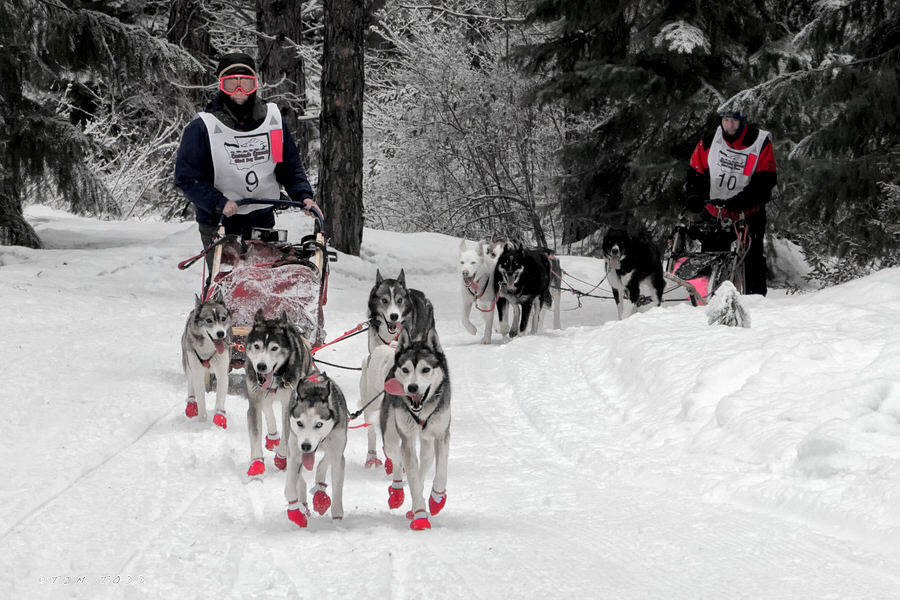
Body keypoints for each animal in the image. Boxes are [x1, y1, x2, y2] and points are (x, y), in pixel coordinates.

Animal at [180, 290, 232, 426]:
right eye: (209, 320)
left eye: (223, 318)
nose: (221, 333)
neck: (209, 349)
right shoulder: (197, 372)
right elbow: (201, 400)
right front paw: (202, 423)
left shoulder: (222, 372)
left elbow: (220, 398)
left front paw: (219, 418)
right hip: (188, 363)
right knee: (191, 381)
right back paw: (191, 405)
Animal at [244, 310, 314, 478]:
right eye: (257, 346)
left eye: (274, 348)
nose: (261, 366)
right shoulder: (254, 402)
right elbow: (256, 432)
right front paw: (256, 463)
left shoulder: (289, 405)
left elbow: (287, 433)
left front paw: (282, 459)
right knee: (268, 409)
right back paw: (272, 437)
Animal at [284, 372, 348, 528]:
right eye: (299, 423)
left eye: (319, 424)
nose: (306, 446)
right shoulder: (294, 453)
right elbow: (289, 488)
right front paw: (295, 512)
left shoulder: (337, 452)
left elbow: (337, 487)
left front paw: (337, 517)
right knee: (299, 479)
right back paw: (303, 502)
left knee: (324, 462)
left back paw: (320, 491)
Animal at [380, 328, 450, 528]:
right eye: (406, 370)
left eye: (425, 369)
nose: (412, 387)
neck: (422, 411)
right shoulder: (408, 440)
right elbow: (411, 476)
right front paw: (420, 515)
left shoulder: (442, 434)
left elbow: (441, 469)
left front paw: (437, 499)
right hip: (390, 437)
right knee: (396, 459)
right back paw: (397, 493)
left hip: (427, 441)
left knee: (425, 462)